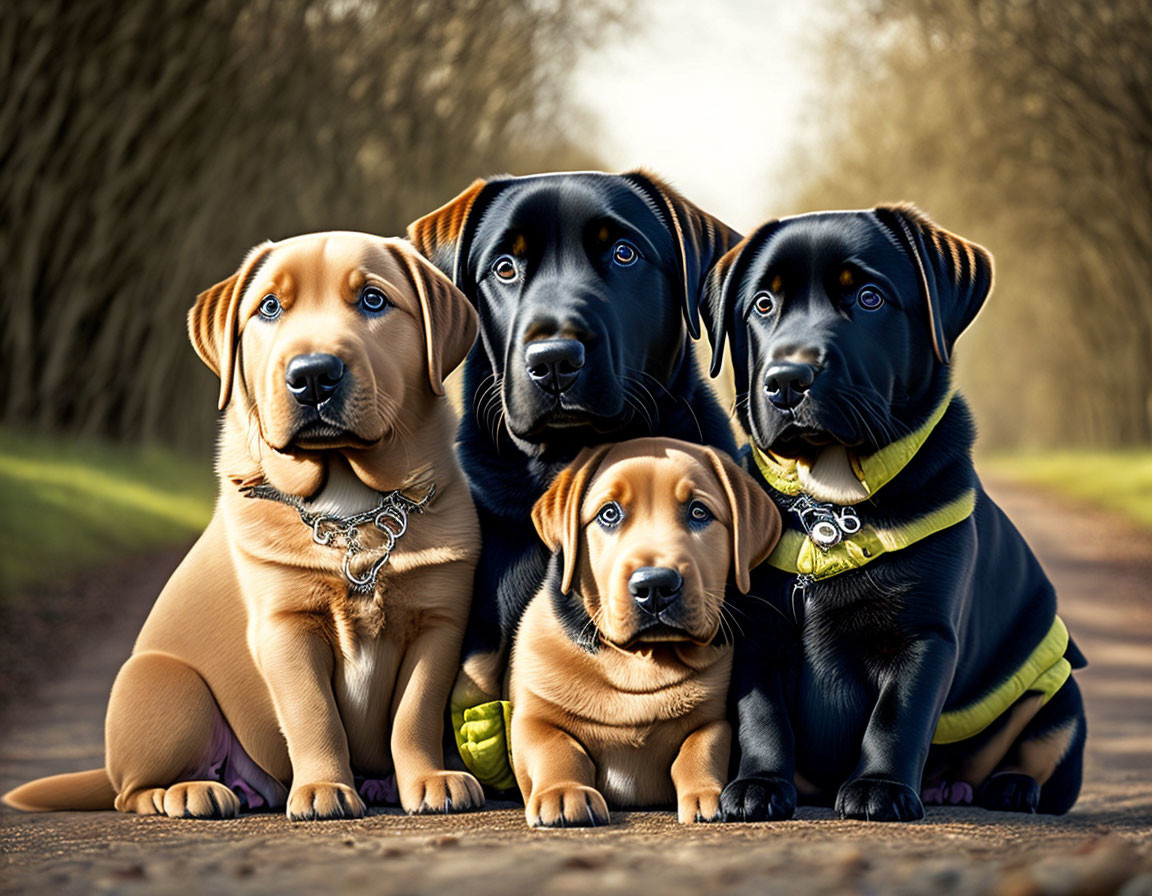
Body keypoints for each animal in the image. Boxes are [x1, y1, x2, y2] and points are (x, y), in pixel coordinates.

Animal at [3, 230, 481, 815]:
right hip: (164, 682)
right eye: (269, 307)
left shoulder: (439, 623)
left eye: (373, 300)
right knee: (129, 792)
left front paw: (429, 779)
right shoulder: (283, 626)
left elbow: (414, 714)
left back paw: (370, 784)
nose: (312, 375)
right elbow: (313, 713)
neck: (349, 502)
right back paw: (189, 792)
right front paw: (324, 787)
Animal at [513, 437, 783, 824]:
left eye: (699, 513)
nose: (655, 585)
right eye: (609, 514)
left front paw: (707, 796)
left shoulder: (715, 721)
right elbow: (555, 748)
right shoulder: (532, 718)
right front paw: (563, 793)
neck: (640, 663)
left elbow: (698, 750)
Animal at [695, 206, 1082, 819]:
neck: (829, 502)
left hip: (1057, 682)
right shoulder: (757, 633)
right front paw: (758, 784)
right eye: (762, 304)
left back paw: (1011, 786)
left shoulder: (923, 634)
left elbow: (897, 715)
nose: (786, 381)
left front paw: (879, 787)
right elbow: (762, 716)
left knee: (1048, 748)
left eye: (870, 298)